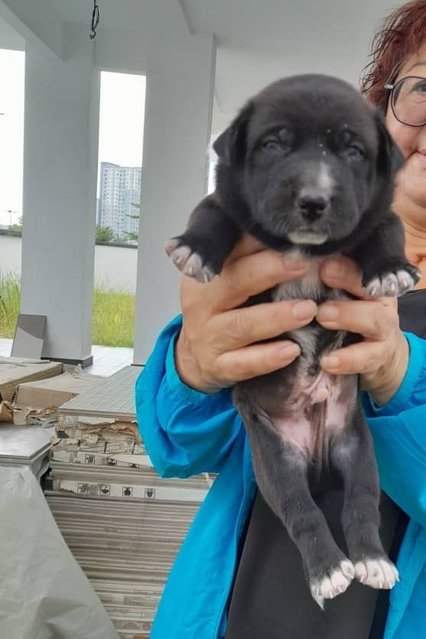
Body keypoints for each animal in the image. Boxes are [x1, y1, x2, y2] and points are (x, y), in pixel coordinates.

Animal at [164, 72, 420, 608]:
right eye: (273, 144)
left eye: (353, 151)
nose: (314, 201)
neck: (305, 250)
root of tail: (316, 454)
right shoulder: (230, 200)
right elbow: (211, 212)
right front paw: (196, 250)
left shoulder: (373, 213)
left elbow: (389, 230)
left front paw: (390, 270)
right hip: (275, 462)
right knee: (302, 511)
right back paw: (329, 570)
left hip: (358, 447)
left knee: (360, 503)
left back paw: (368, 562)